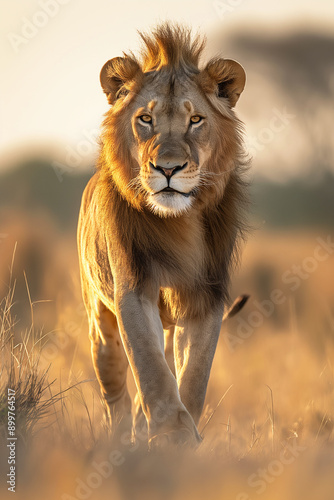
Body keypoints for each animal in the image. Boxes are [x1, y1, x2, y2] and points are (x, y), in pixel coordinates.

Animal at [77, 23, 248, 448]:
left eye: (196, 120)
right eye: (145, 119)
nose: (167, 168)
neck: (176, 223)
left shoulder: (206, 296)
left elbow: (193, 376)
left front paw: (179, 441)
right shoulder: (134, 289)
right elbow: (150, 369)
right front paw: (172, 435)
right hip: (99, 322)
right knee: (116, 388)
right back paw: (122, 438)